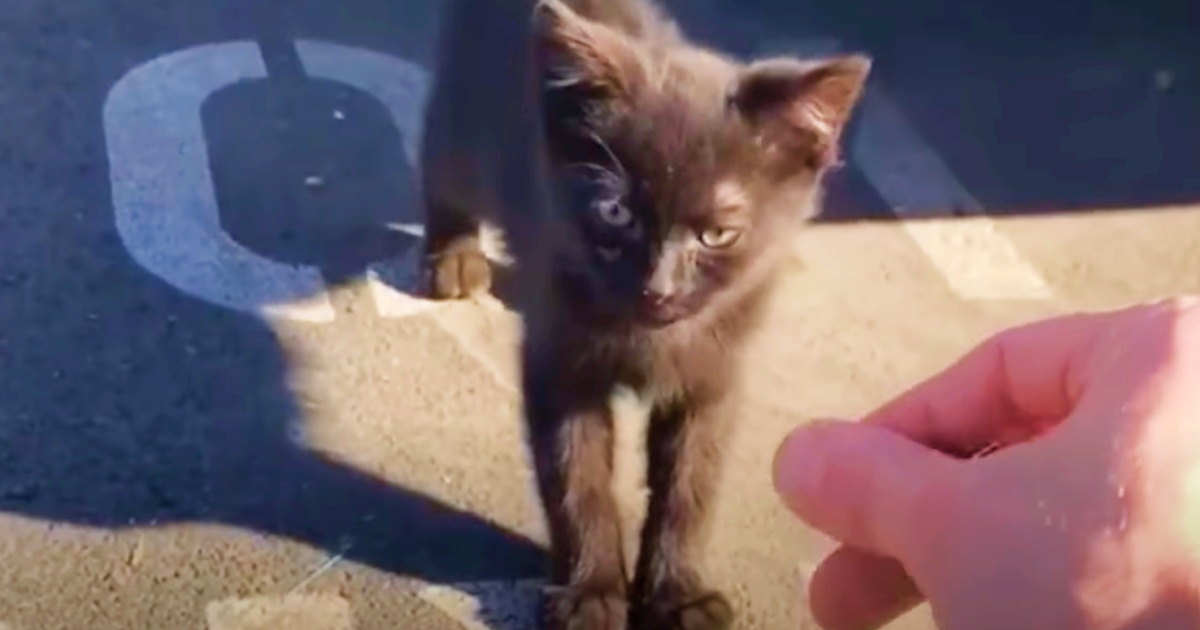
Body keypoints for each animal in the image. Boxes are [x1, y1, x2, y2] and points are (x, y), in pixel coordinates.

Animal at [422, 2, 873, 624]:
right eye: (616, 212)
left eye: (717, 234)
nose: (657, 288)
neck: (649, 337)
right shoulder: (560, 359)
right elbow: (577, 475)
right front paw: (591, 592)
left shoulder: (717, 370)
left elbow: (690, 485)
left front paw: (680, 593)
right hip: (465, 121)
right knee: (439, 161)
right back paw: (454, 256)